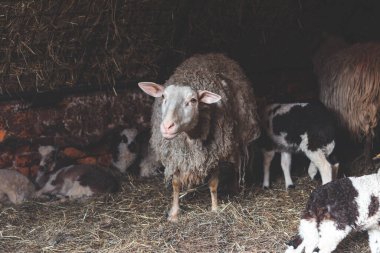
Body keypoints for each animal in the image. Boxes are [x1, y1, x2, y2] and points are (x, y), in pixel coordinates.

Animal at [138, 52, 260, 221]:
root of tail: (213, 54)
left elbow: (213, 185)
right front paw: (174, 214)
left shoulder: (215, 154)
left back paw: (235, 186)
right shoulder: (176, 156)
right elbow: (176, 185)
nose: (167, 126)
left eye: (193, 100)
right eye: (163, 97)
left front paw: (215, 209)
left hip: (240, 139)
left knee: (237, 164)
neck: (189, 138)